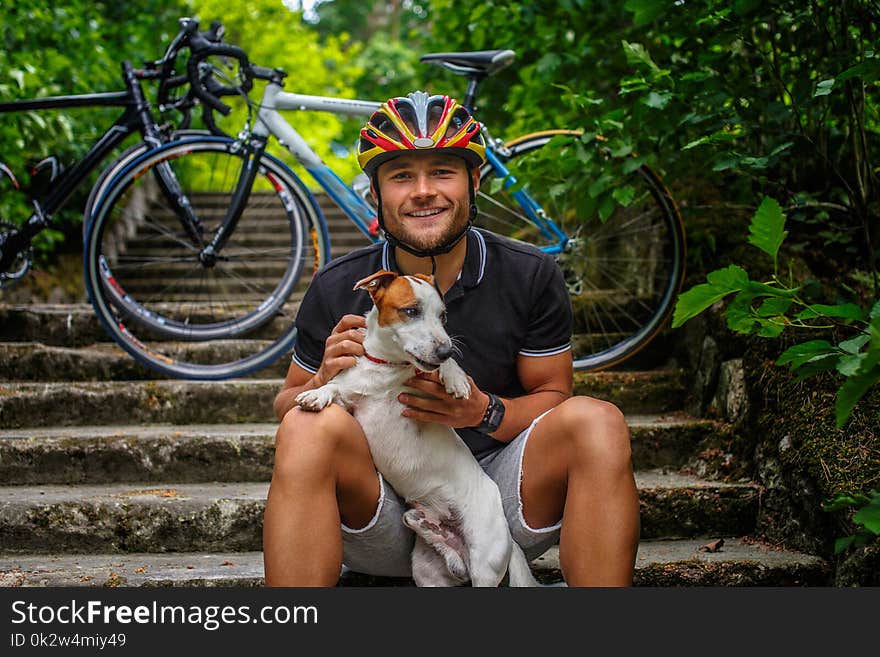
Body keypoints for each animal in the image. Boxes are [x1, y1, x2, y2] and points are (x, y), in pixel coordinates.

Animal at [296, 270, 536, 588]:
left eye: (443, 316)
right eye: (411, 311)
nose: (446, 349)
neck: (386, 368)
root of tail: (509, 540)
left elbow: (440, 369)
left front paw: (455, 378)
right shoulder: (353, 399)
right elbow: (335, 387)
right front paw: (317, 393)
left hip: (485, 562)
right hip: (428, 572)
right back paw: (422, 524)